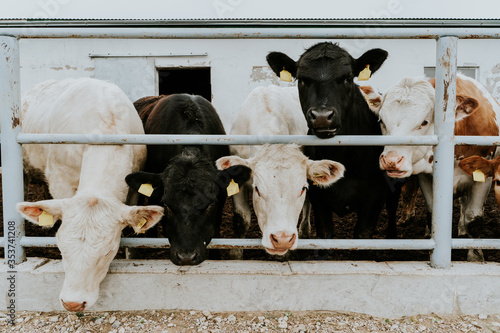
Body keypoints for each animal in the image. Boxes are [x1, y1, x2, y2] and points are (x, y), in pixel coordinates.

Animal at [366, 75, 500, 260]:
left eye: (424, 122)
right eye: (381, 121)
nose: (391, 160)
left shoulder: (483, 176)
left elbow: (474, 218)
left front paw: (475, 256)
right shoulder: (425, 176)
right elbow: (432, 213)